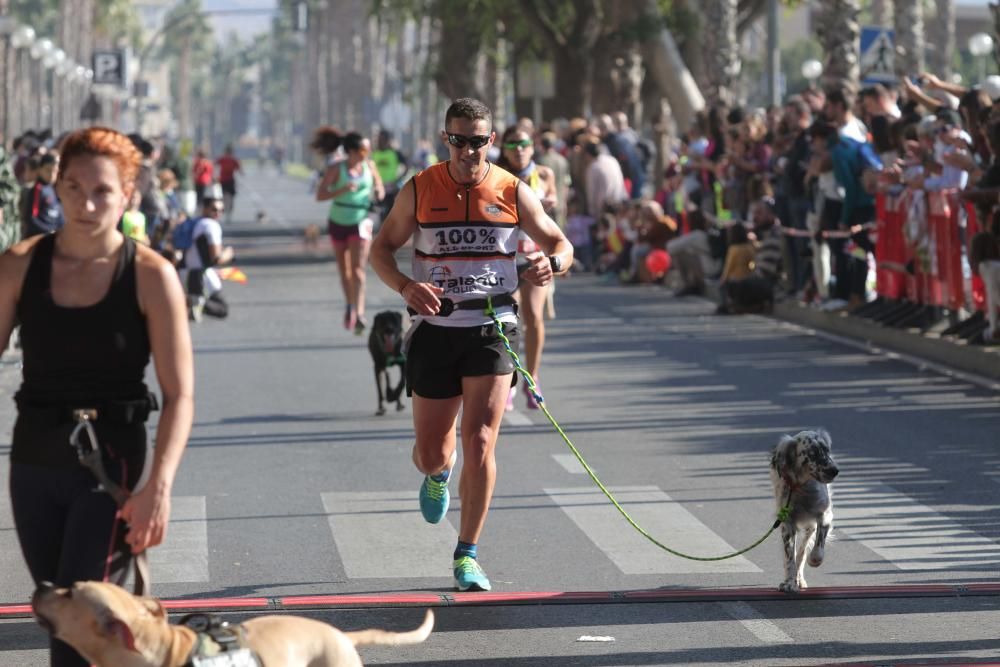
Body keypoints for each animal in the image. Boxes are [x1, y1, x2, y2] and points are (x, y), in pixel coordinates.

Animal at [768, 434, 840, 596]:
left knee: (802, 551)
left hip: (810, 527)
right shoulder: (787, 523)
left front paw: (814, 560)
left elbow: (817, 547)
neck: (802, 487)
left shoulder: (824, 515)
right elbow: (790, 558)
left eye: (826, 450)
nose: (835, 470)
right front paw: (790, 583)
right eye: (812, 453)